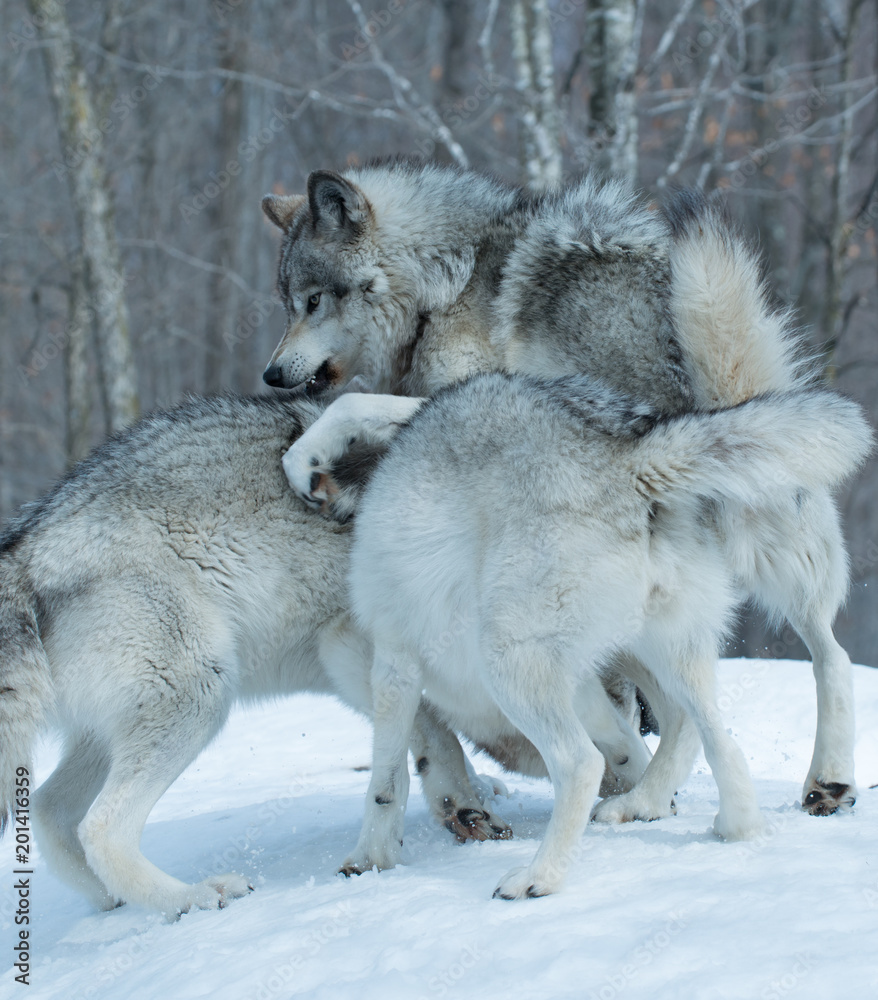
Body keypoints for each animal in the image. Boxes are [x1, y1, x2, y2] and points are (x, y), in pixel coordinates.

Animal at [0, 393, 650, 916]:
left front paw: (467, 804)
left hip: (115, 732)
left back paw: (113, 902)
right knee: (103, 828)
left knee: (54, 812)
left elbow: (433, 742)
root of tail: (27, 546)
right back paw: (195, 897)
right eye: (623, 702)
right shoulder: (352, 645)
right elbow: (429, 739)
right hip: (199, 701)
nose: (633, 772)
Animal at [263, 159, 868, 816]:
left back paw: (811, 779)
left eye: (312, 301)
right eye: (287, 304)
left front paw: (305, 460)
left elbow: (349, 404)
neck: (440, 286)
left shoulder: (461, 394)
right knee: (733, 691)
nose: (271, 373)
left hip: (755, 558)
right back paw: (672, 798)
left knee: (814, 661)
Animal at [284, 372, 871, 899]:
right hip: (672, 654)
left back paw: (538, 878)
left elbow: (386, 783)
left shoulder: (394, 666)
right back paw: (718, 824)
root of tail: (632, 461)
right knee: (718, 741)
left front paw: (368, 860)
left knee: (583, 762)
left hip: (509, 663)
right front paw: (302, 463)